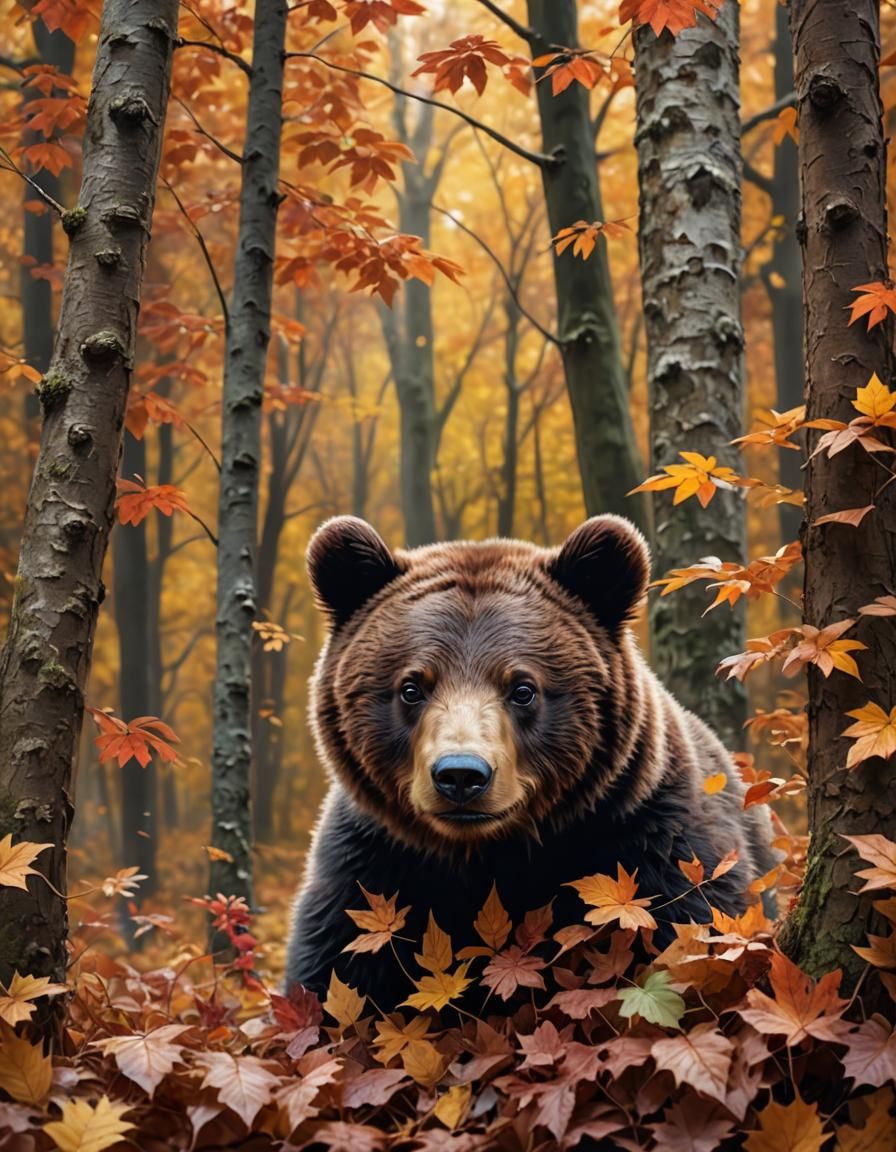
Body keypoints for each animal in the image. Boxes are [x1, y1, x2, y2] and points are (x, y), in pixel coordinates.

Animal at [285, 514, 776, 1008]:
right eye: (411, 687)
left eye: (522, 688)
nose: (460, 774)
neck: (490, 859)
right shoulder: (370, 868)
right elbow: (332, 972)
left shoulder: (652, 845)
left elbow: (694, 937)